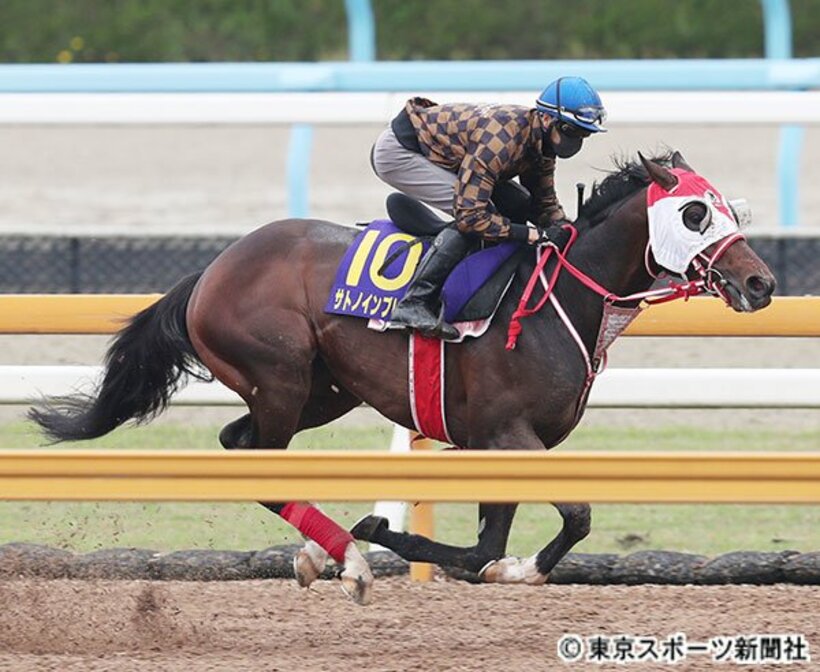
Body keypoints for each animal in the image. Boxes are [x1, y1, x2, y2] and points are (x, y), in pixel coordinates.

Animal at [29, 151, 776, 605]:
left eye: (730, 209)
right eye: (695, 214)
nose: (761, 283)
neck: (560, 297)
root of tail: (211, 268)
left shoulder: (494, 442)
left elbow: (488, 545)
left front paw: (493, 562)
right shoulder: (507, 433)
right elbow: (571, 516)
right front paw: (392, 533)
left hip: (322, 392)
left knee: (239, 446)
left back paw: (320, 553)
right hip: (280, 378)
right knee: (259, 459)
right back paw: (349, 560)